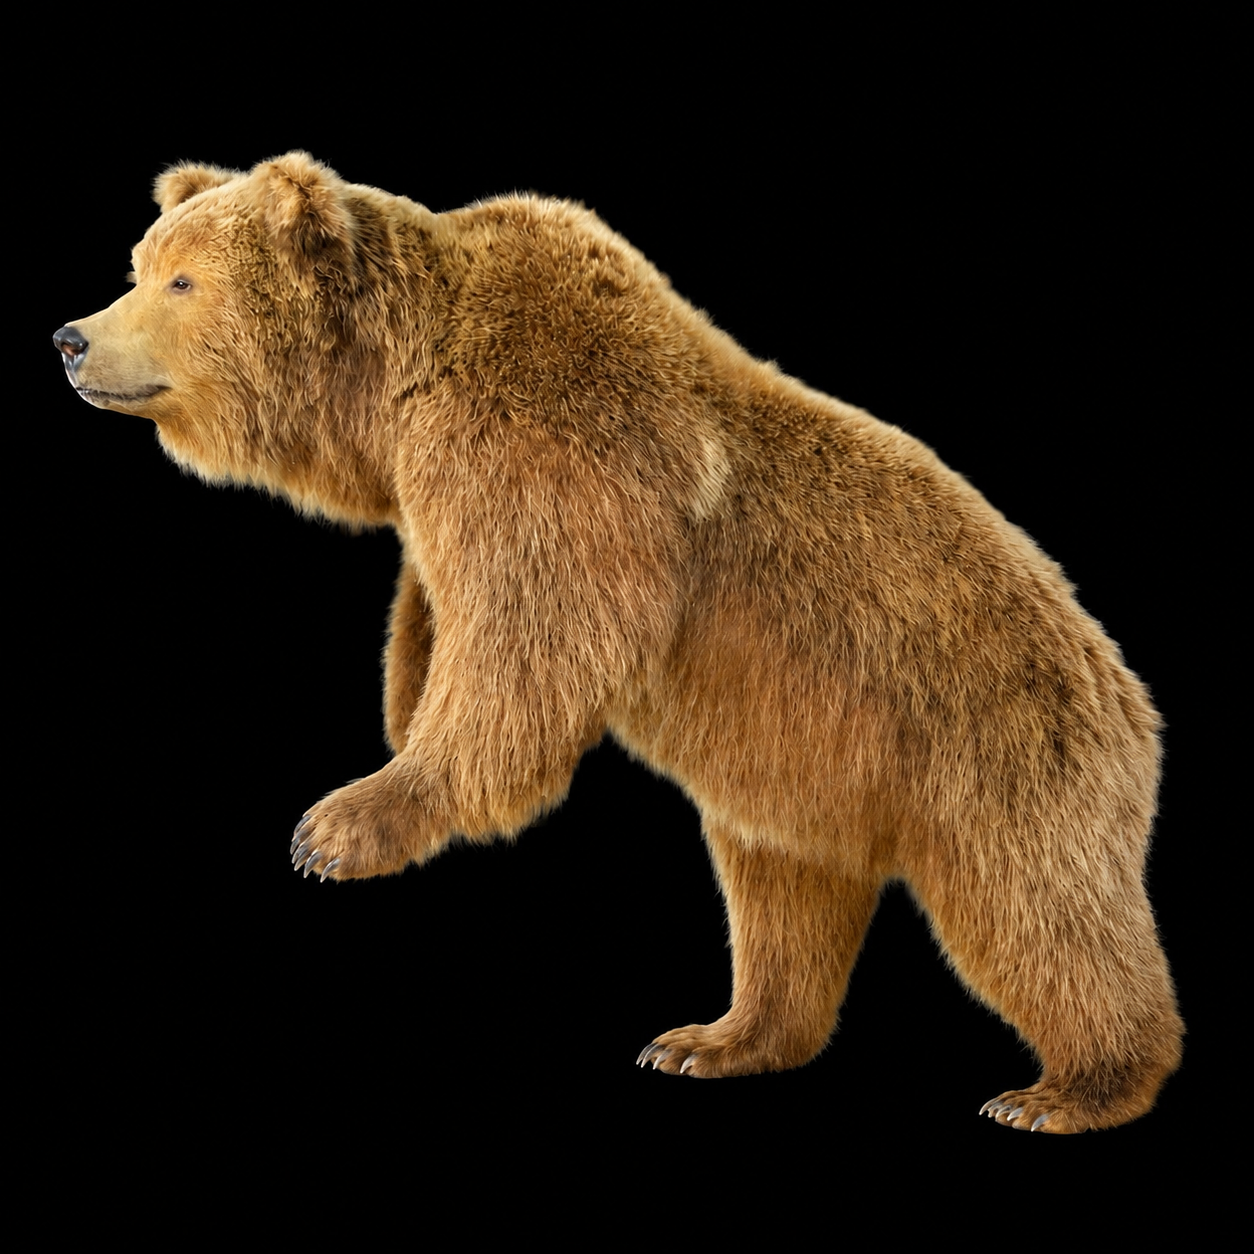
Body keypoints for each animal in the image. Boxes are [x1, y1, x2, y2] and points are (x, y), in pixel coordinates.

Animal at [54, 152, 1182, 1132]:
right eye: (139, 263)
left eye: (183, 279)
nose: (71, 337)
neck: (393, 391)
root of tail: (1128, 690)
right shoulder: (442, 497)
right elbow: (438, 625)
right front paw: (395, 719)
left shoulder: (556, 457)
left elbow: (525, 650)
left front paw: (340, 826)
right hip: (803, 781)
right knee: (783, 906)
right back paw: (713, 1038)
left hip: (997, 749)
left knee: (1038, 915)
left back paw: (1065, 1090)